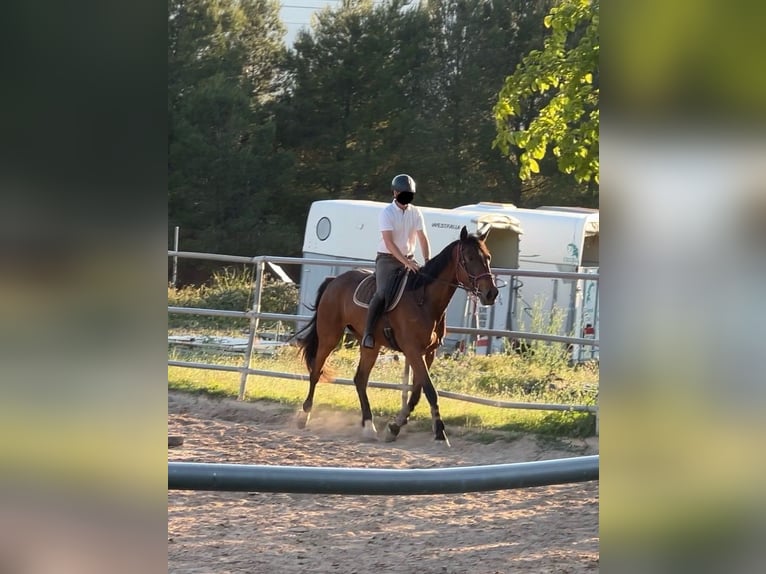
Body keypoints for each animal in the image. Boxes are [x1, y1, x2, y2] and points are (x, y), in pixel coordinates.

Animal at [294, 226, 499, 443]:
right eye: (469, 258)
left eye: (488, 257)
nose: (491, 294)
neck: (423, 300)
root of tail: (334, 281)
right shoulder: (413, 350)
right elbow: (430, 390)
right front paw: (439, 431)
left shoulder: (429, 352)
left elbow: (417, 391)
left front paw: (394, 427)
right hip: (329, 336)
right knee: (316, 372)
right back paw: (304, 416)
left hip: (370, 345)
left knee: (360, 379)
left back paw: (369, 426)